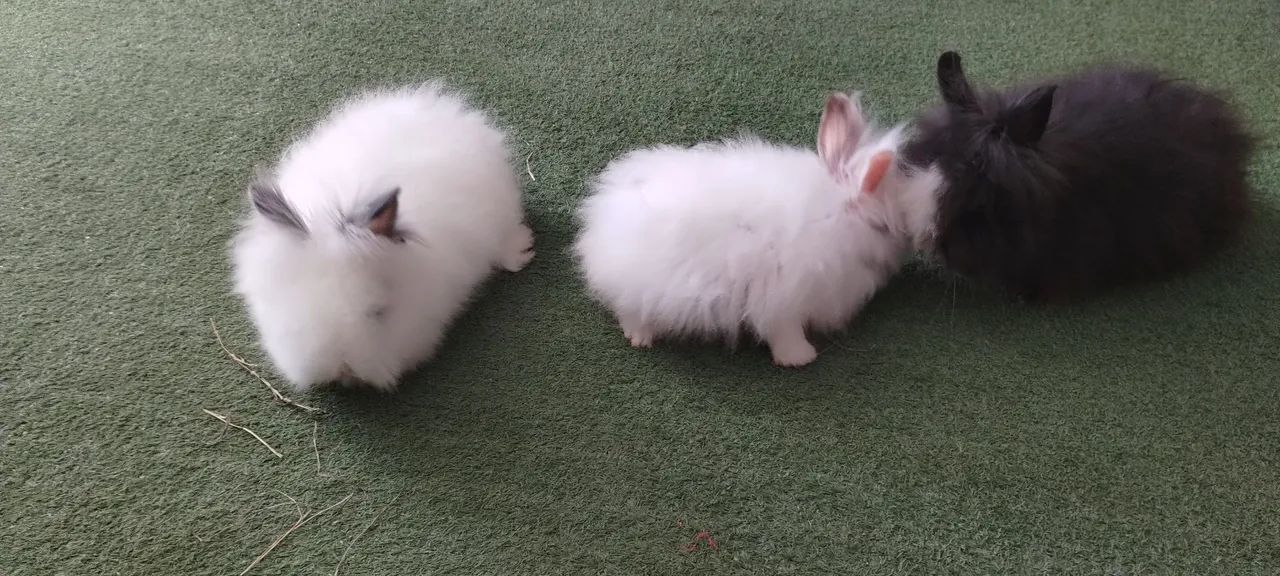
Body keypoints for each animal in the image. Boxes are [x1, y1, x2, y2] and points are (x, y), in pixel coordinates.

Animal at [574, 93, 940, 367]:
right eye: (882, 227)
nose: (905, 250)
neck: (832, 216)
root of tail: (600, 223)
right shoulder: (784, 296)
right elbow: (785, 332)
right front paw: (800, 358)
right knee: (629, 309)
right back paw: (641, 338)